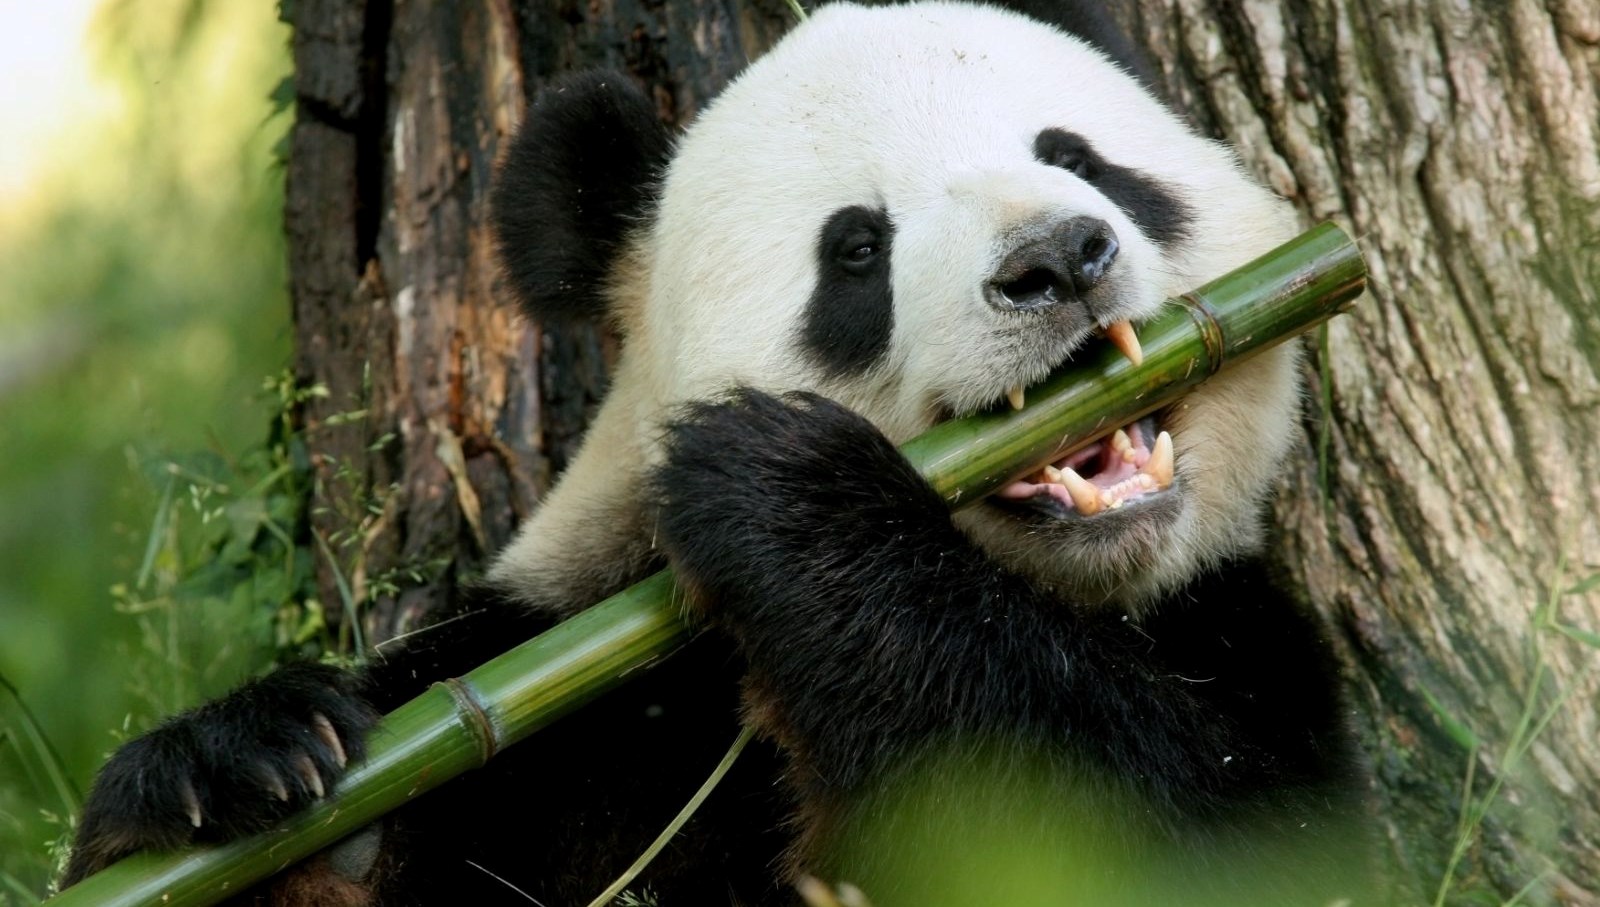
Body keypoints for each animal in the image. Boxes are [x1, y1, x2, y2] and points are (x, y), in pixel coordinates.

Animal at [62, 2, 1371, 905]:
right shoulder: (570, 699)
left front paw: (787, 495)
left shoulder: (1243, 641)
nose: (1056, 257)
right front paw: (239, 771)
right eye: (856, 248)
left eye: (1082, 158)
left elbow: (1173, 832)